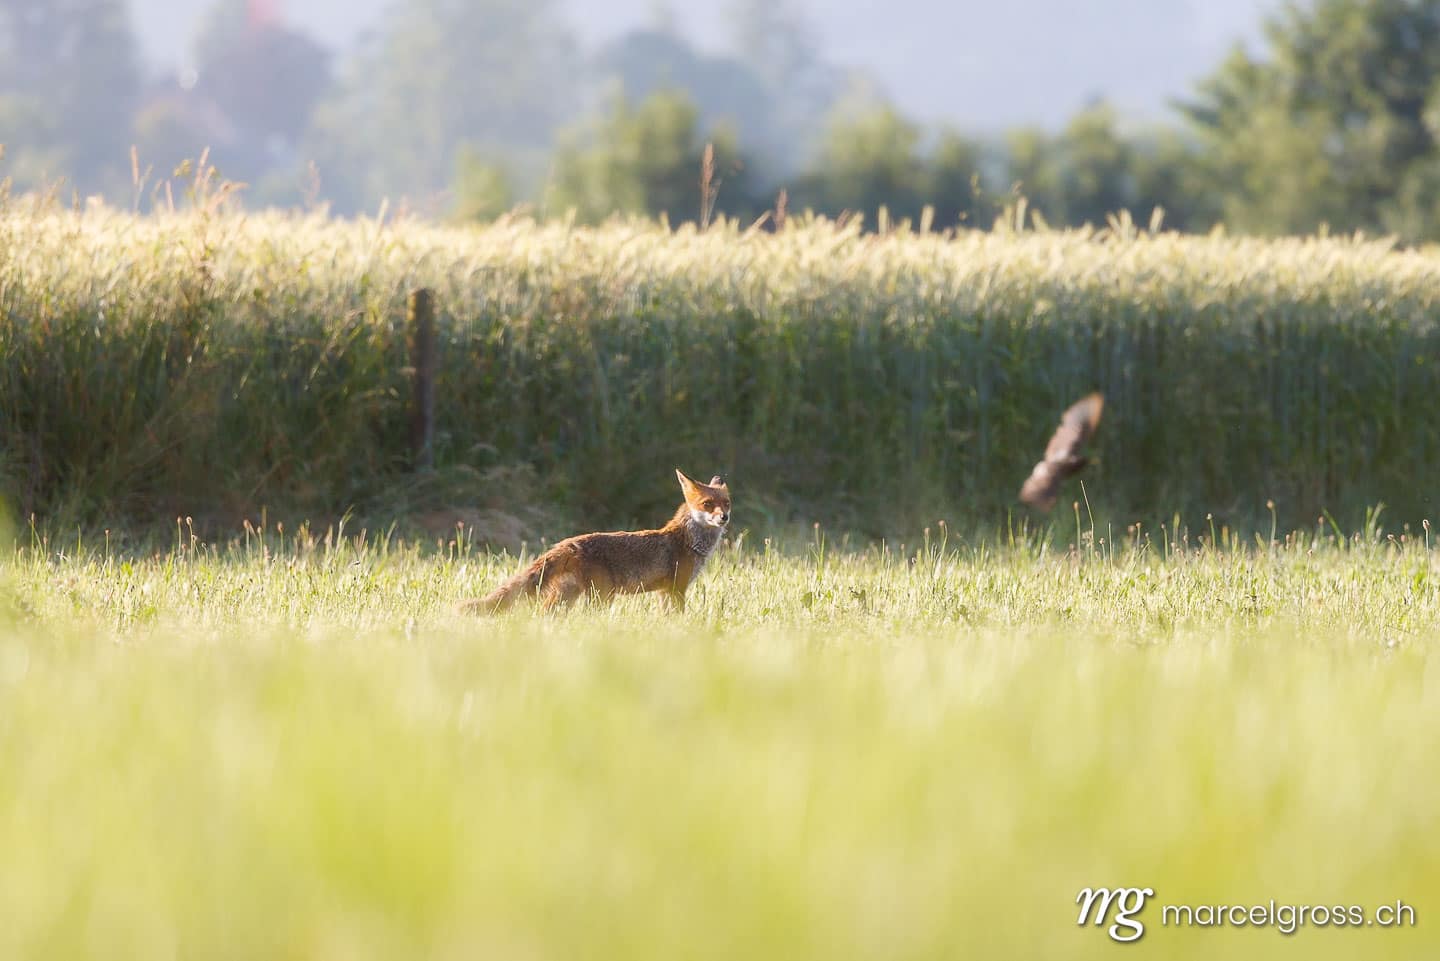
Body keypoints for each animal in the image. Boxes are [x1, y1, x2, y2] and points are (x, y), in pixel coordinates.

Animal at [461, 469, 731, 614]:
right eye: (707, 504)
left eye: (726, 503)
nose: (724, 517)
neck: (689, 541)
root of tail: (568, 542)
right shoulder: (676, 589)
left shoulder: (665, 592)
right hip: (600, 596)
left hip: (568, 595)